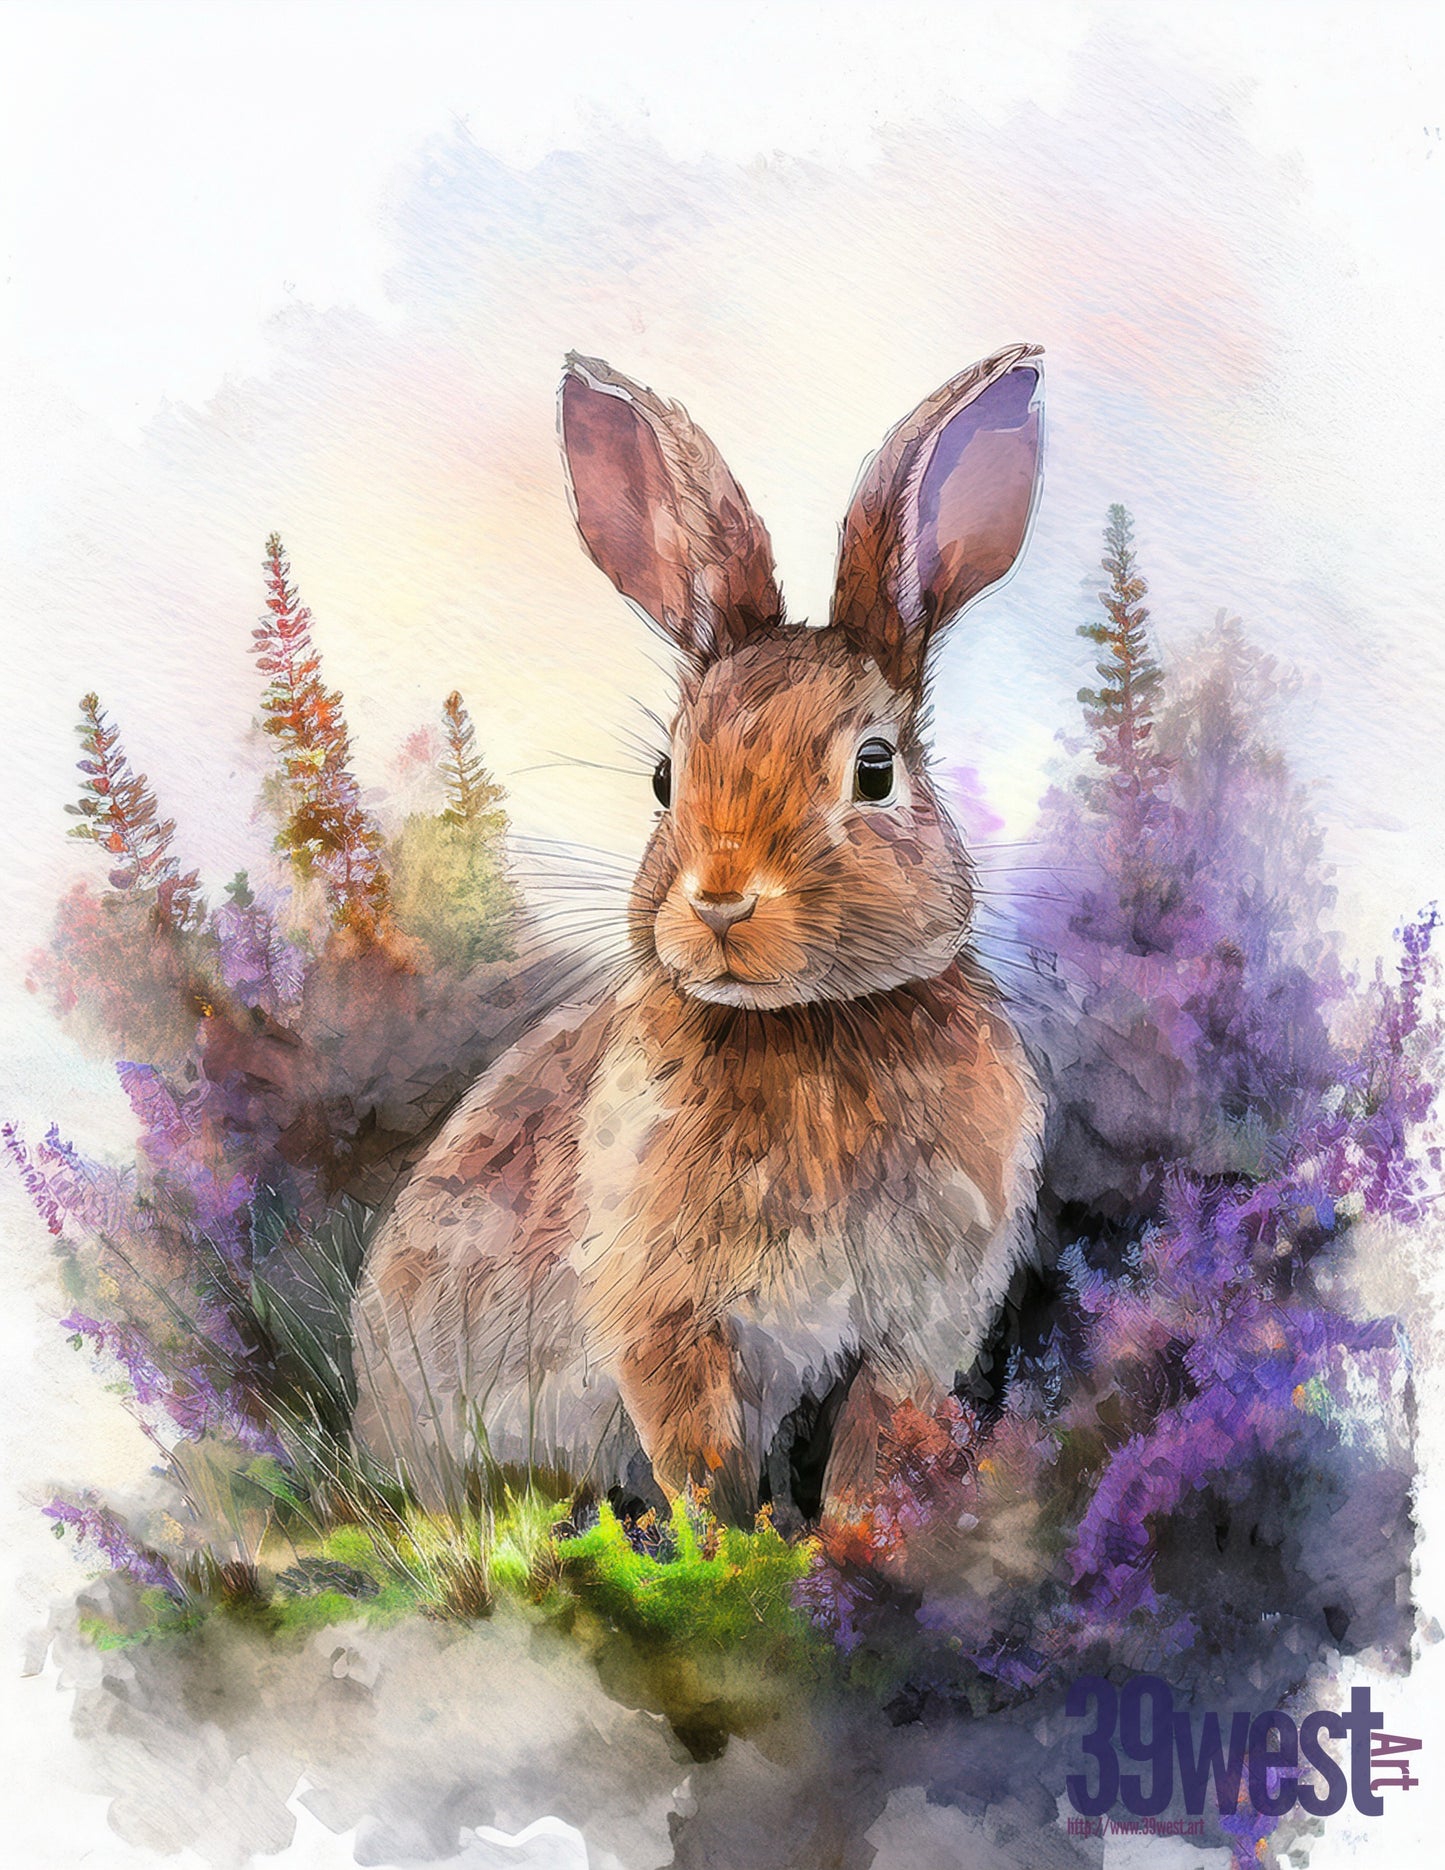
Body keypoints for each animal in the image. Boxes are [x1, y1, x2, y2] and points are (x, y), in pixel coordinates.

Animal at [351, 343, 1046, 1525]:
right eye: (664, 777)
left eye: (873, 770)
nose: (720, 901)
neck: (806, 1025)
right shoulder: (665, 1320)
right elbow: (703, 1467)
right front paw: (736, 1548)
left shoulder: (914, 1331)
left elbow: (873, 1452)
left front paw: (852, 1545)